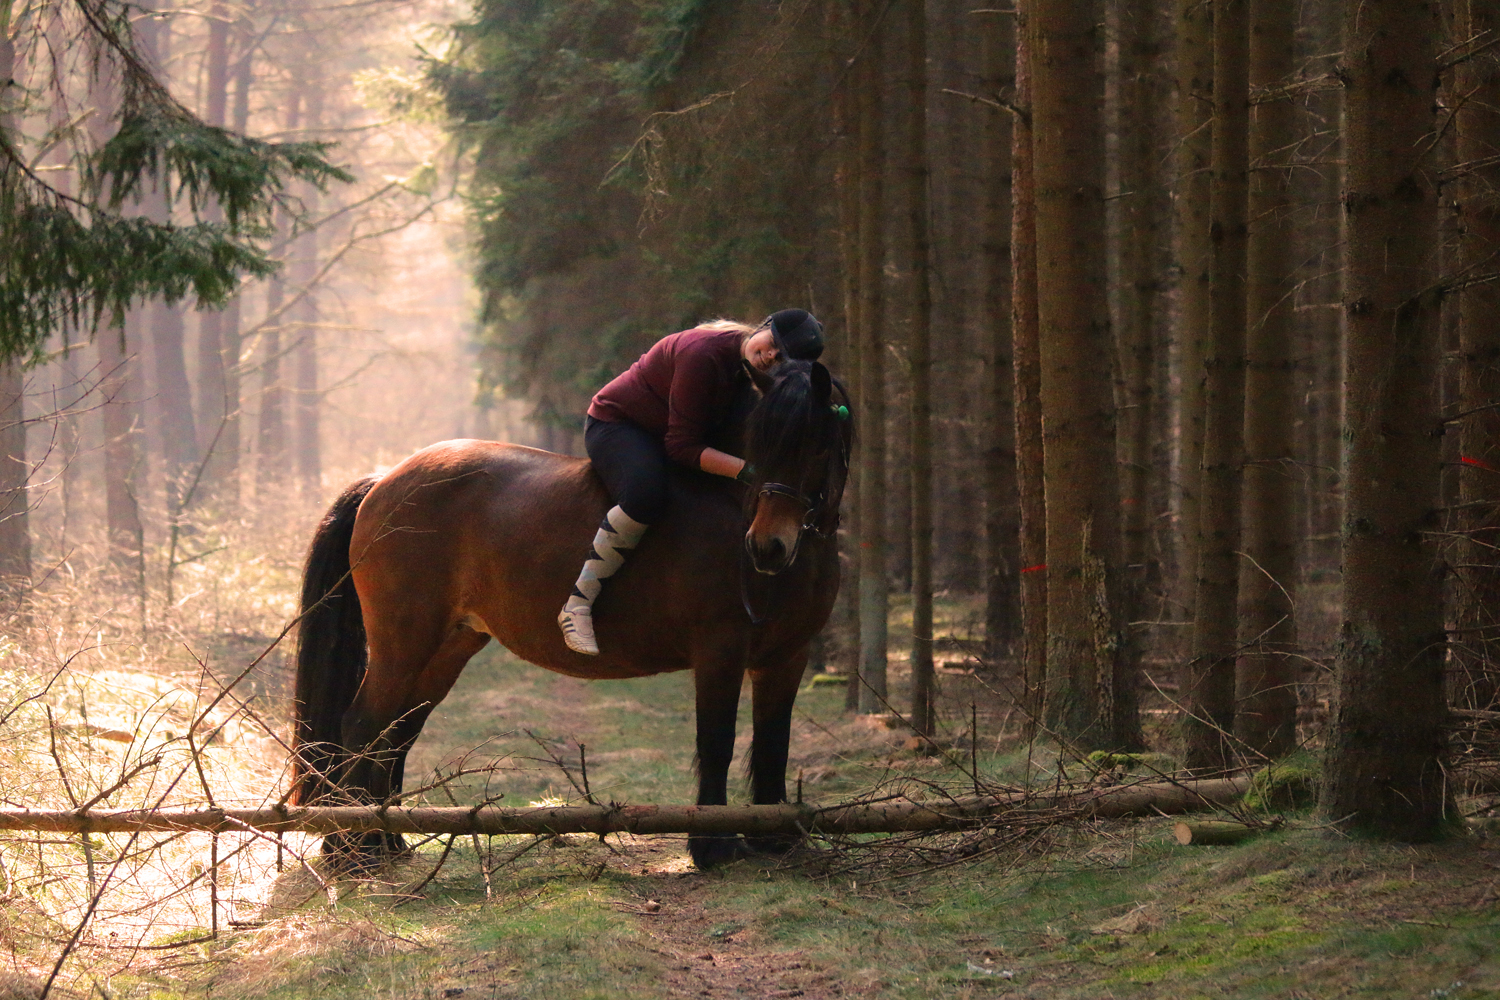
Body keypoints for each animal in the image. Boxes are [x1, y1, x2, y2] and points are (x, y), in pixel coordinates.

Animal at [286, 358, 852, 869]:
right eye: (758, 445)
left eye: (817, 444)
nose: (767, 548)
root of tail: (384, 482)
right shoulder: (720, 652)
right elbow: (718, 742)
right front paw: (713, 847)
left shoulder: (787, 658)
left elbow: (774, 742)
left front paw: (776, 839)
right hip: (404, 643)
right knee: (363, 725)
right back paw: (352, 851)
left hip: (447, 647)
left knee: (397, 733)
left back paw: (387, 842)